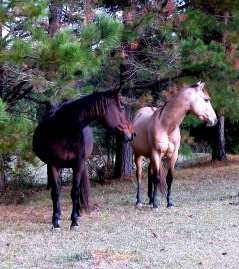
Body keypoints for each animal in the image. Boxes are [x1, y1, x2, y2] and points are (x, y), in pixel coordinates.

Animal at [32, 86, 135, 230]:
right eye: (122, 108)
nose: (132, 133)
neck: (66, 131)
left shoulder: (78, 164)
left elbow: (75, 191)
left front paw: (74, 221)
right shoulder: (53, 165)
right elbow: (56, 192)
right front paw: (55, 222)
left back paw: (78, 214)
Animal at [130, 81, 218, 209]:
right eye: (206, 100)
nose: (215, 120)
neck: (166, 125)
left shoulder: (173, 155)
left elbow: (169, 178)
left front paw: (169, 203)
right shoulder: (156, 153)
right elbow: (157, 178)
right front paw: (155, 205)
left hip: (151, 157)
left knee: (150, 173)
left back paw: (150, 199)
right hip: (138, 154)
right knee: (139, 175)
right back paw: (139, 201)